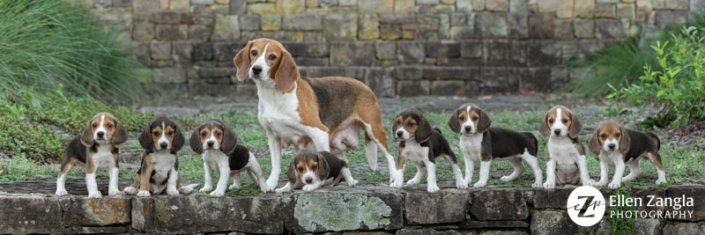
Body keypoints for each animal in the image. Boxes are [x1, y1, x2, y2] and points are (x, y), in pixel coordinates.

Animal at [234, 38, 404, 189]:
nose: (256, 69)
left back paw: (393, 179)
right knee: (344, 163)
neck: (273, 94)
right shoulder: (273, 136)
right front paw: (270, 184)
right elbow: (276, 165)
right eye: (254, 52)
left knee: (389, 157)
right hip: (336, 144)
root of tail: (365, 85)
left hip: (374, 130)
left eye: (272, 57)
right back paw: (349, 181)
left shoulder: (319, 132)